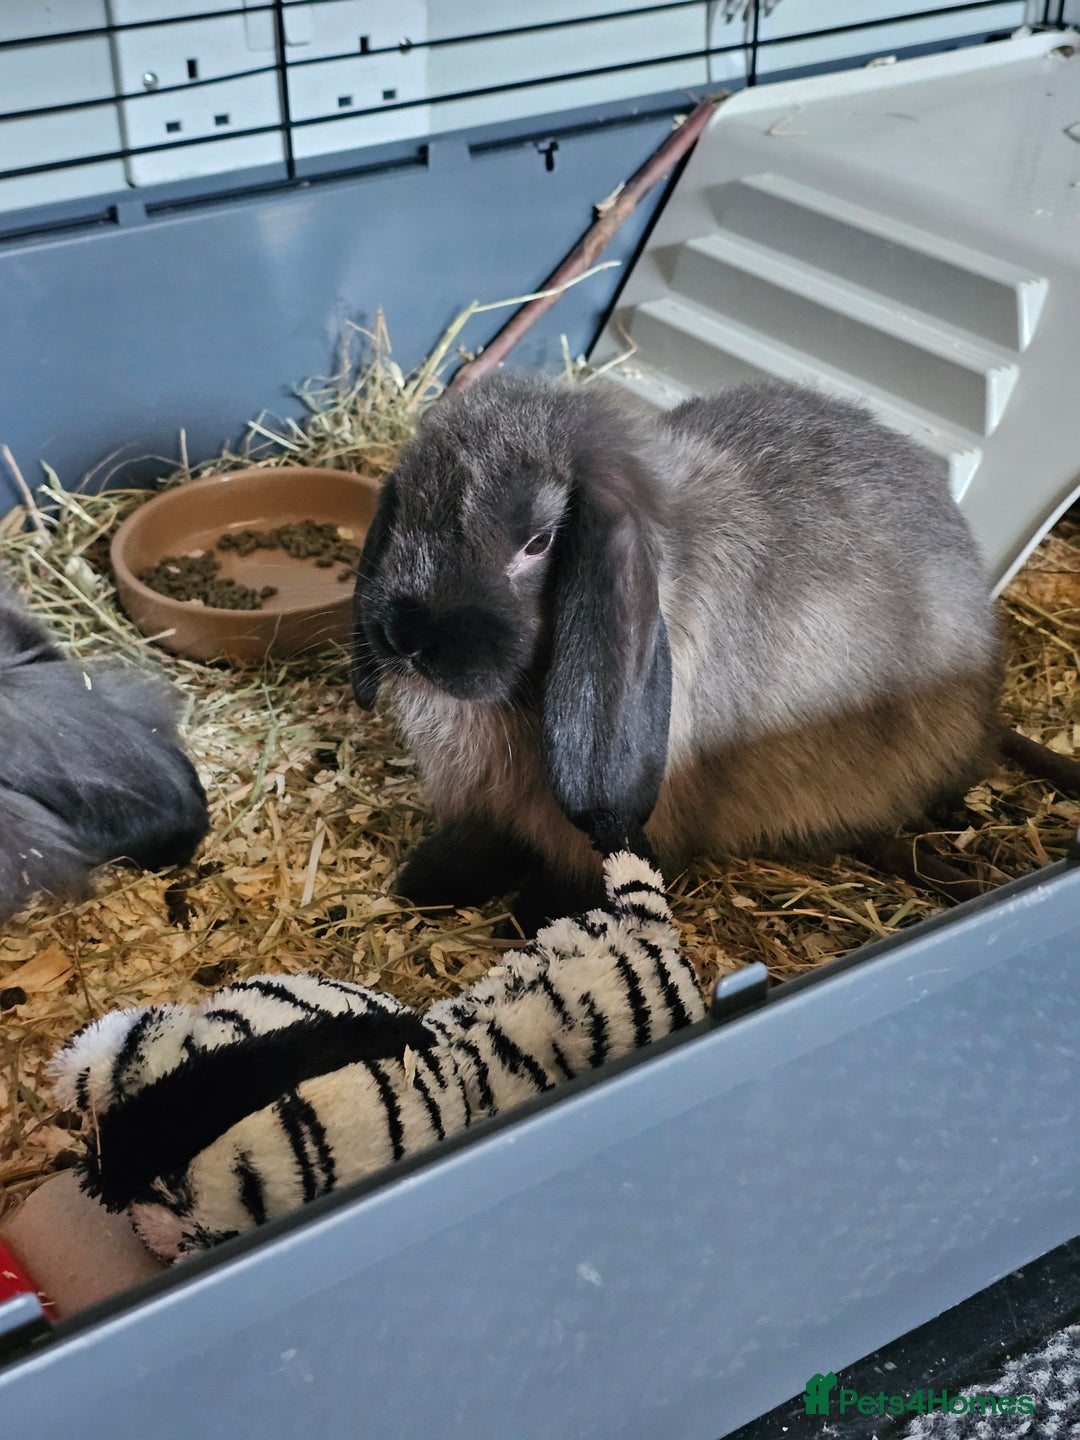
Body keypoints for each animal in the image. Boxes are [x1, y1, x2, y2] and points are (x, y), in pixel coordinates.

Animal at [351, 375, 1004, 932]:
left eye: (538, 543)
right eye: (405, 511)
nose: (405, 636)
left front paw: (538, 921)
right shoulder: (483, 806)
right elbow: (480, 843)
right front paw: (426, 883)